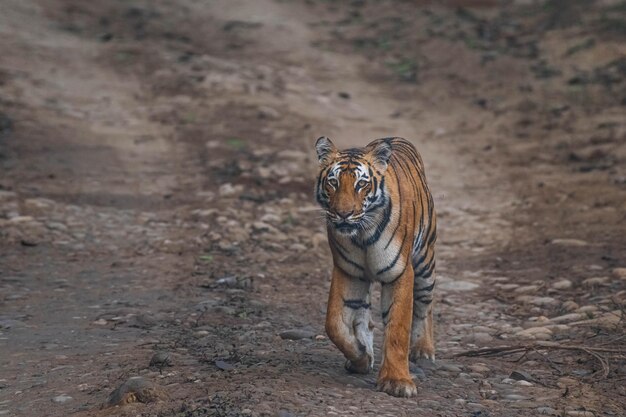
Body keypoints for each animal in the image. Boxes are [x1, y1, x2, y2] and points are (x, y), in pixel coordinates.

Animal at [312, 136, 434, 396]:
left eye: (361, 184)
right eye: (333, 182)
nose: (343, 214)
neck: (362, 235)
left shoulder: (400, 273)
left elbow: (398, 328)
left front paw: (397, 381)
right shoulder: (348, 271)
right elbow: (334, 324)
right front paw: (360, 355)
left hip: (425, 261)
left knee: (425, 305)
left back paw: (423, 350)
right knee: (363, 316)